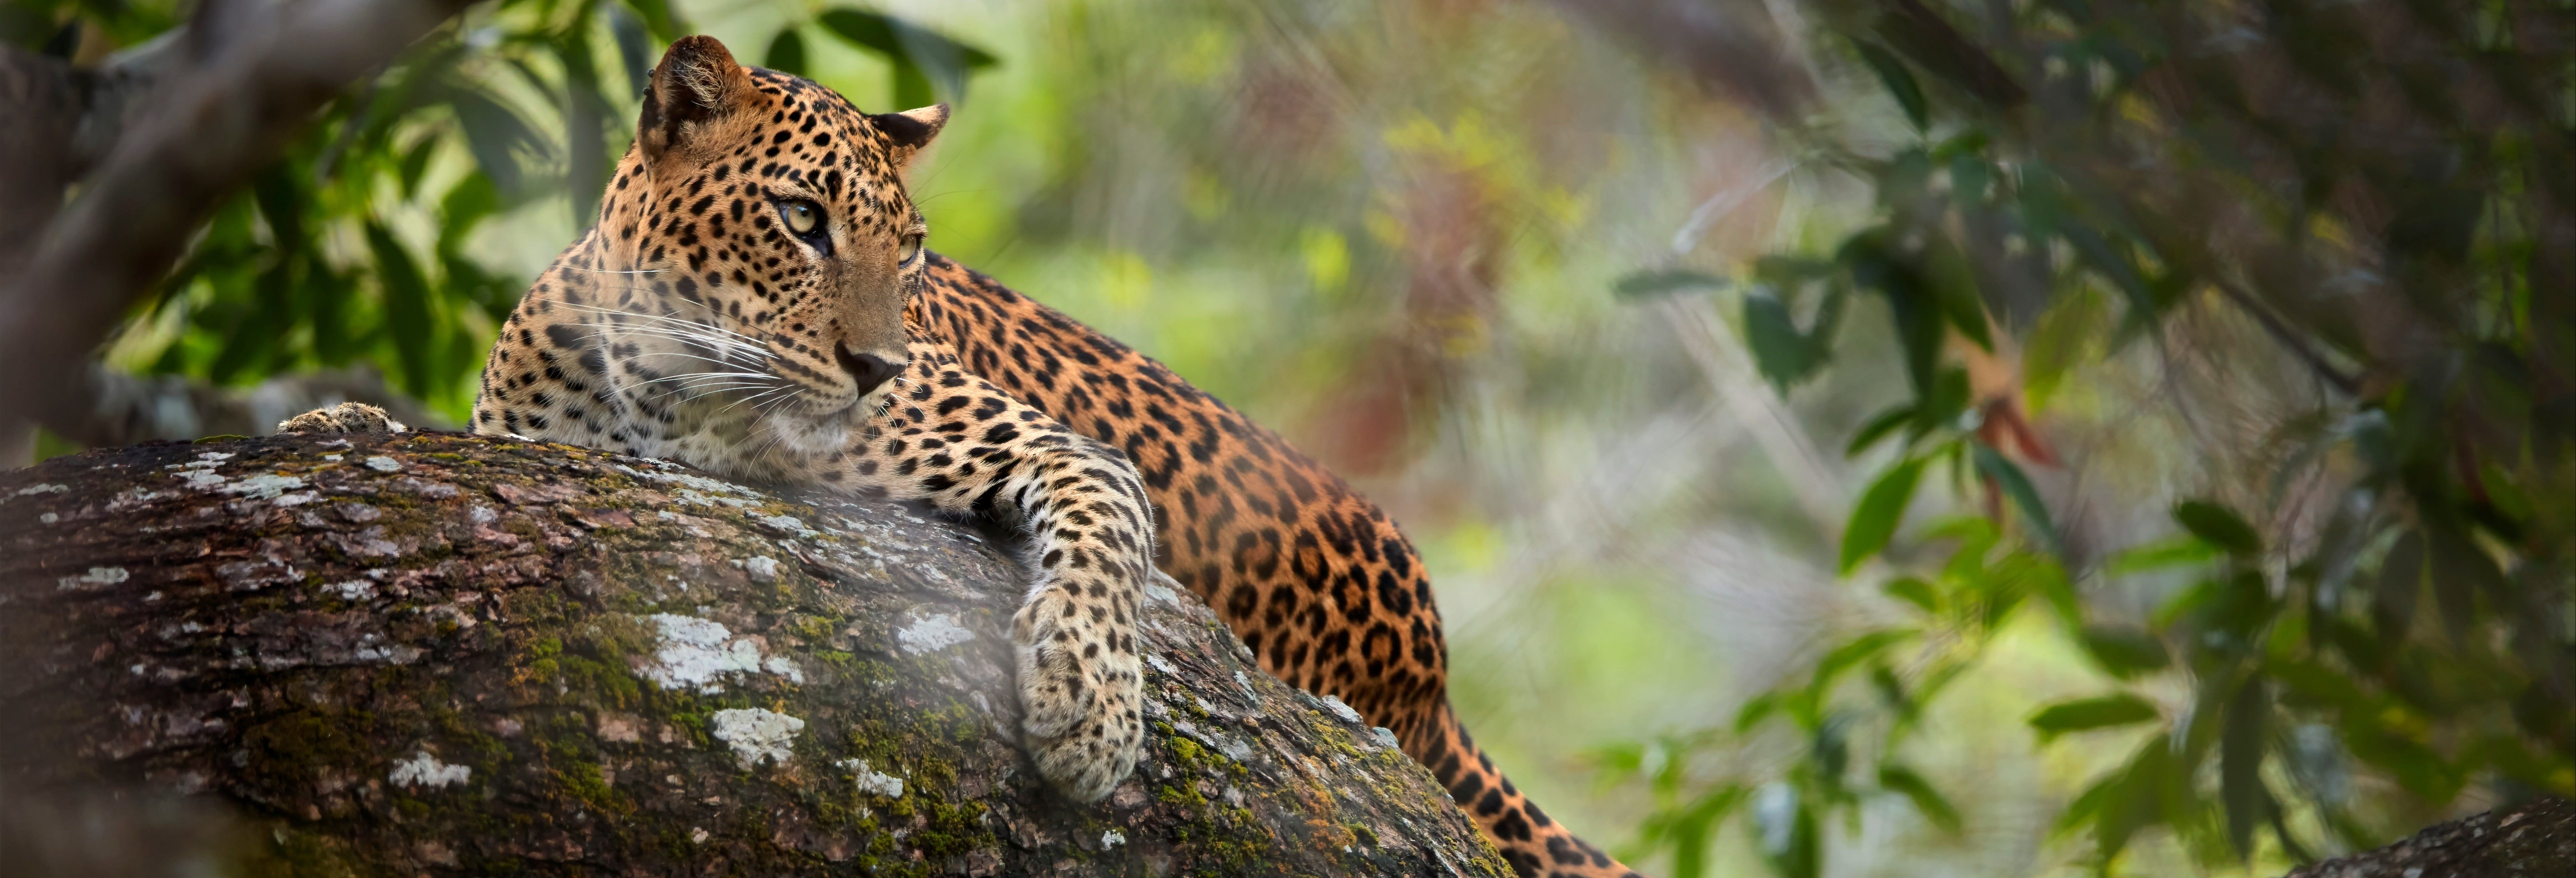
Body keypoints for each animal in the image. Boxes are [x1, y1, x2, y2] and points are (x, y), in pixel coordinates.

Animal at [287, 34, 1648, 875]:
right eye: (800, 219)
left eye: (912, 249)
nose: (876, 367)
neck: (656, 379)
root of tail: (1433, 676)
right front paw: (333, 428)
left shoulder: (1033, 437)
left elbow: (1104, 521)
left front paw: (1087, 709)